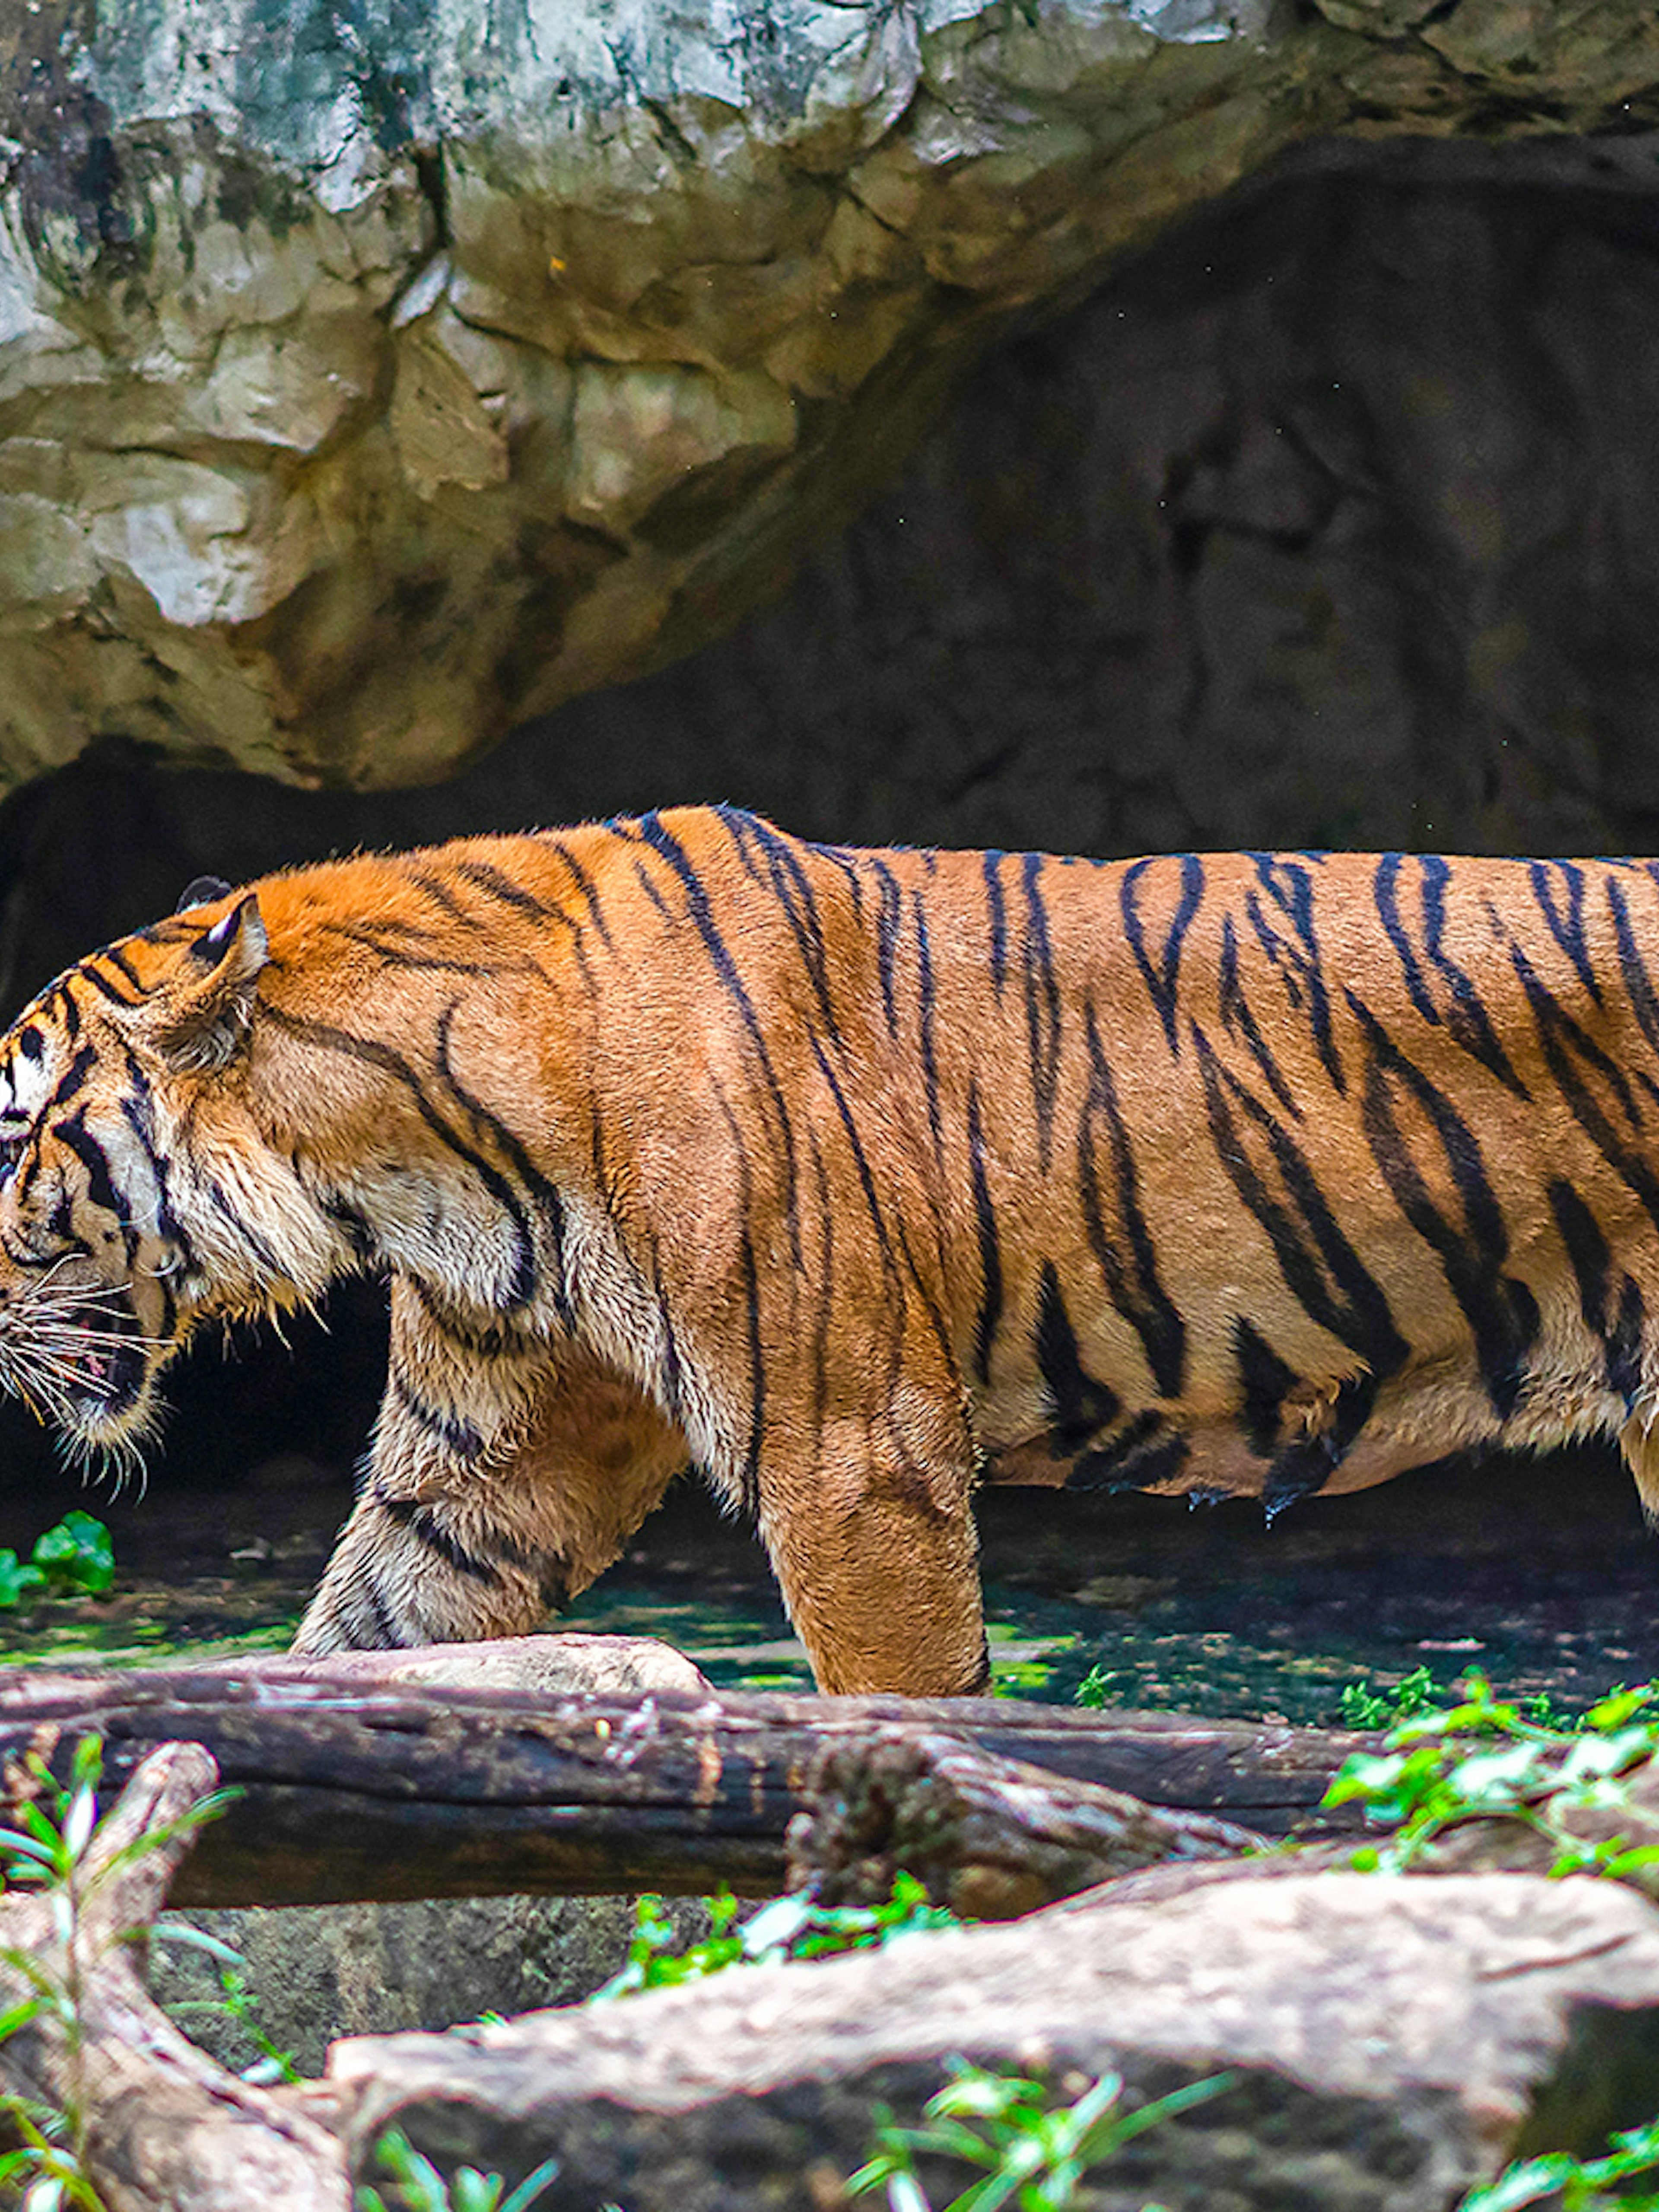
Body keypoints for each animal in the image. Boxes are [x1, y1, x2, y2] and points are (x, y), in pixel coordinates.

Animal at [0, 805, 1654, 1695]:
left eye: (7, 1138)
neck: (404, 1165)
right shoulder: (492, 1465)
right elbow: (361, 1634)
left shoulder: (851, 1450)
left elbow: (900, 1703)